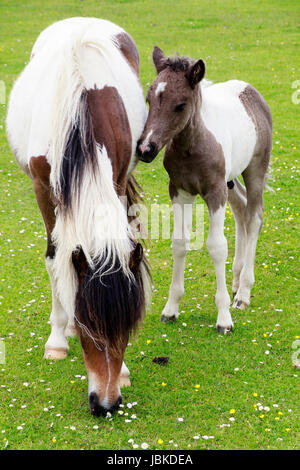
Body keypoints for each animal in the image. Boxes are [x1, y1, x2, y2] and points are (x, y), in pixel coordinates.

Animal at [7, 17, 150, 414]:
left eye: (128, 327)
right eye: (89, 326)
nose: (107, 404)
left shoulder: (117, 179)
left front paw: (124, 370)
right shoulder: (43, 189)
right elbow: (55, 259)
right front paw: (57, 339)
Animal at [137, 46, 274, 334]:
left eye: (180, 105)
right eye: (149, 99)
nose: (145, 149)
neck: (193, 145)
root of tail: (250, 90)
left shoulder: (214, 191)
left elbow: (217, 246)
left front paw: (223, 318)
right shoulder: (179, 190)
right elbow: (179, 242)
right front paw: (170, 309)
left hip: (254, 170)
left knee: (254, 217)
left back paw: (243, 293)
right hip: (230, 181)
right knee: (241, 209)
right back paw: (236, 282)